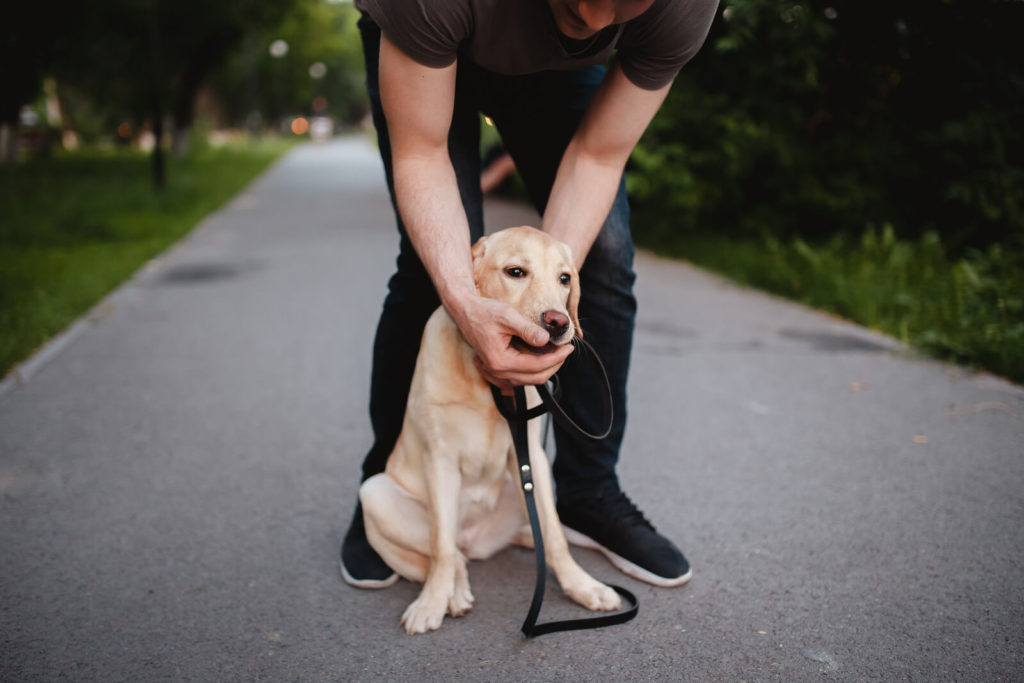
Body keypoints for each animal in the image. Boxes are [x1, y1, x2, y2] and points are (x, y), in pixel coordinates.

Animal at [362, 225, 614, 634]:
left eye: (564, 278)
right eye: (516, 272)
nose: (558, 322)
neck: (490, 385)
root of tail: (476, 540)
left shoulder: (531, 458)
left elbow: (554, 535)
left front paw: (582, 585)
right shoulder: (440, 461)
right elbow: (441, 547)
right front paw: (431, 603)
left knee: (520, 535)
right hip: (375, 493)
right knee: (450, 553)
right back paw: (454, 593)